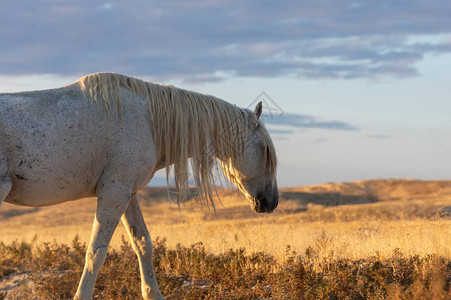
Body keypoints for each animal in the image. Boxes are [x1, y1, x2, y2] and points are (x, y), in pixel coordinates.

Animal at [0, 72, 278, 298]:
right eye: (265, 150)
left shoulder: (128, 194)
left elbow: (142, 243)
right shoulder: (114, 193)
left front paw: (153, 293)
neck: (148, 120)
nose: (271, 202)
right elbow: (96, 252)